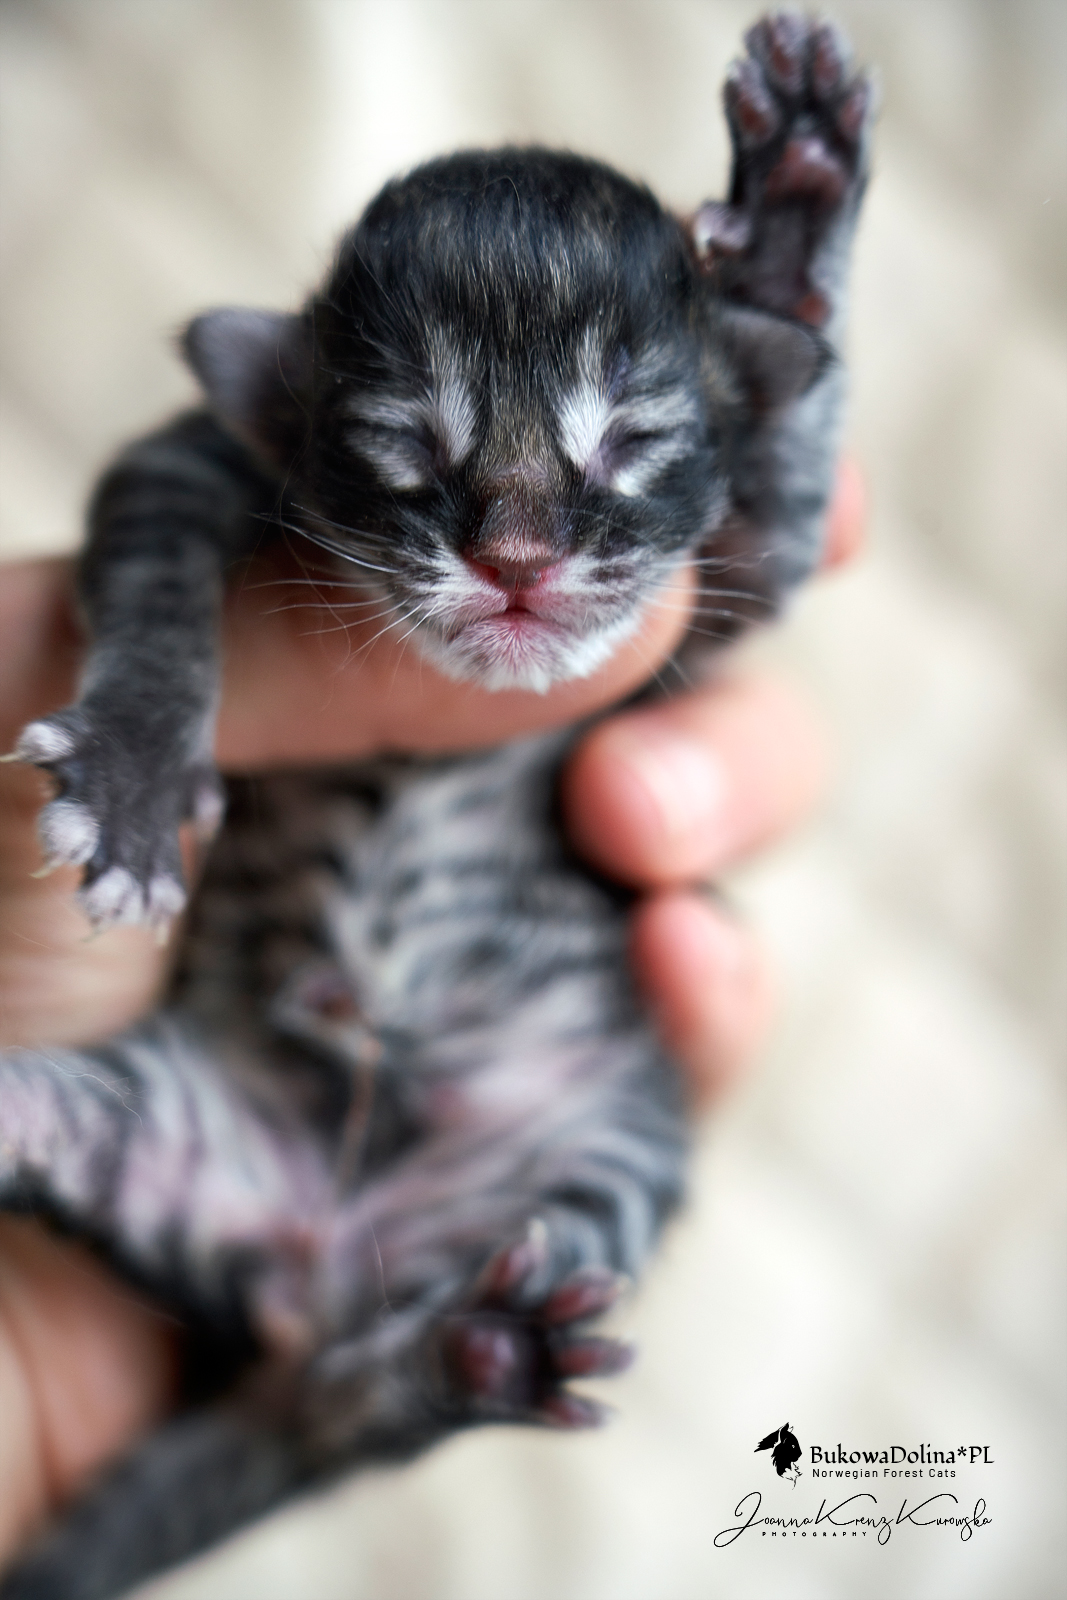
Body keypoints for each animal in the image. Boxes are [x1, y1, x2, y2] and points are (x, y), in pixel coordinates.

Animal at [0, 15, 871, 1598]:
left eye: (628, 440)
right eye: (406, 443)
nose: (516, 558)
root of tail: (319, 1262)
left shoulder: (719, 595)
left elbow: (785, 467)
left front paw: (788, 215)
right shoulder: (181, 461)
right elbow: (153, 588)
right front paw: (136, 778)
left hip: (590, 1172)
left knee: (363, 1408)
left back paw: (476, 1356)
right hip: (152, 1131)